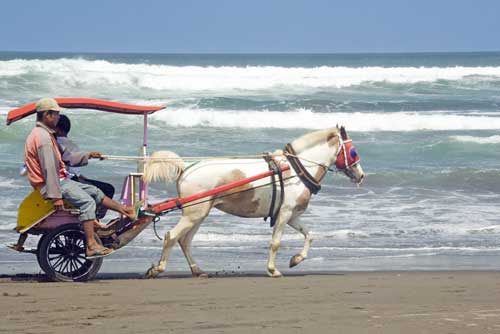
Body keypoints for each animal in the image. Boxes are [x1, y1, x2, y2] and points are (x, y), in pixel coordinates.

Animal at [143, 125, 366, 276]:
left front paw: (296, 259)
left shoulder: (292, 216)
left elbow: (310, 236)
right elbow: (275, 243)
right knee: (171, 237)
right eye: (353, 151)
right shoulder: (284, 213)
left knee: (185, 240)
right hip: (193, 214)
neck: (295, 169)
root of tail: (185, 167)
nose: (361, 175)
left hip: (199, 214)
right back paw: (158, 268)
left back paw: (197, 270)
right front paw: (272, 269)